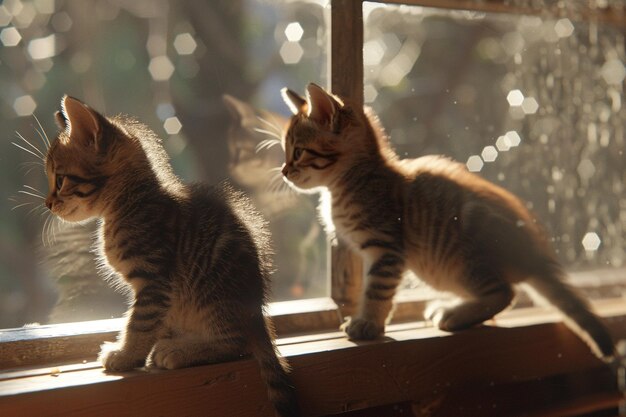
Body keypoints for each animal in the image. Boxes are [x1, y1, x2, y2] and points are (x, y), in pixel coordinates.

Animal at [44, 95, 298, 416]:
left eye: (60, 180)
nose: (47, 203)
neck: (131, 202)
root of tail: (258, 315)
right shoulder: (159, 291)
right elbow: (150, 321)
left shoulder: (155, 278)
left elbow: (139, 323)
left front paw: (126, 356)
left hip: (213, 293)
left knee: (236, 344)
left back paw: (182, 351)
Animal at [280, 83, 612, 360]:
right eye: (286, 153)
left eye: (298, 152)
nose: (283, 171)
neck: (354, 178)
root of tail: (533, 256)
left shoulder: (387, 248)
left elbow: (376, 289)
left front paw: (368, 324)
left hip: (460, 260)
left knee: (505, 292)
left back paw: (456, 315)